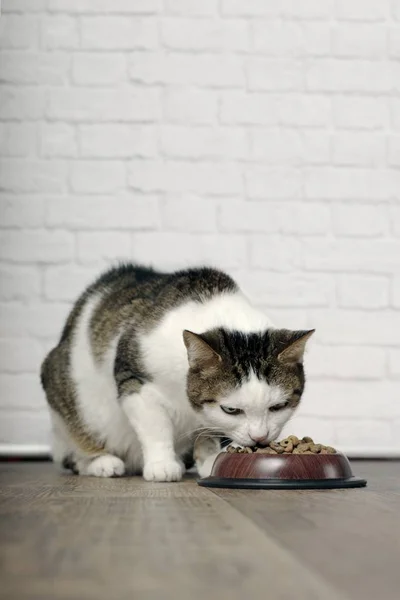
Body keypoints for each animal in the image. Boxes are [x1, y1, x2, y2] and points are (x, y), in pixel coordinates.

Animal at [41, 264, 316, 480]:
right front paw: (162, 465)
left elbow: (210, 431)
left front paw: (210, 461)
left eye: (278, 407)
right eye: (231, 409)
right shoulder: (134, 380)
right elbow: (155, 426)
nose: (259, 438)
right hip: (65, 388)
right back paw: (101, 462)